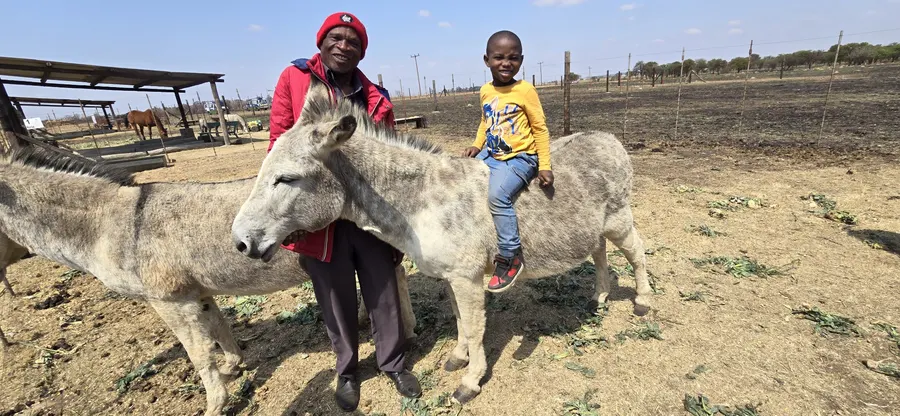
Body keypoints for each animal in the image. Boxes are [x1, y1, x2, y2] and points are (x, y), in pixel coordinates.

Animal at [0, 147, 416, 416]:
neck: (112, 223)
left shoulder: (169, 300)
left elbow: (198, 353)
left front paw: (215, 403)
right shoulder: (196, 292)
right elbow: (219, 328)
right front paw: (234, 366)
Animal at [231, 79, 651, 405]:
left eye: (286, 179)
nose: (240, 243)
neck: (423, 200)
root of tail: (608, 137)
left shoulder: (467, 277)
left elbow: (476, 326)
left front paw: (470, 382)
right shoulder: (452, 276)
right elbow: (461, 320)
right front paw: (458, 357)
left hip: (618, 219)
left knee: (636, 253)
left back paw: (644, 301)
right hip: (595, 227)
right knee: (600, 253)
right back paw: (599, 298)